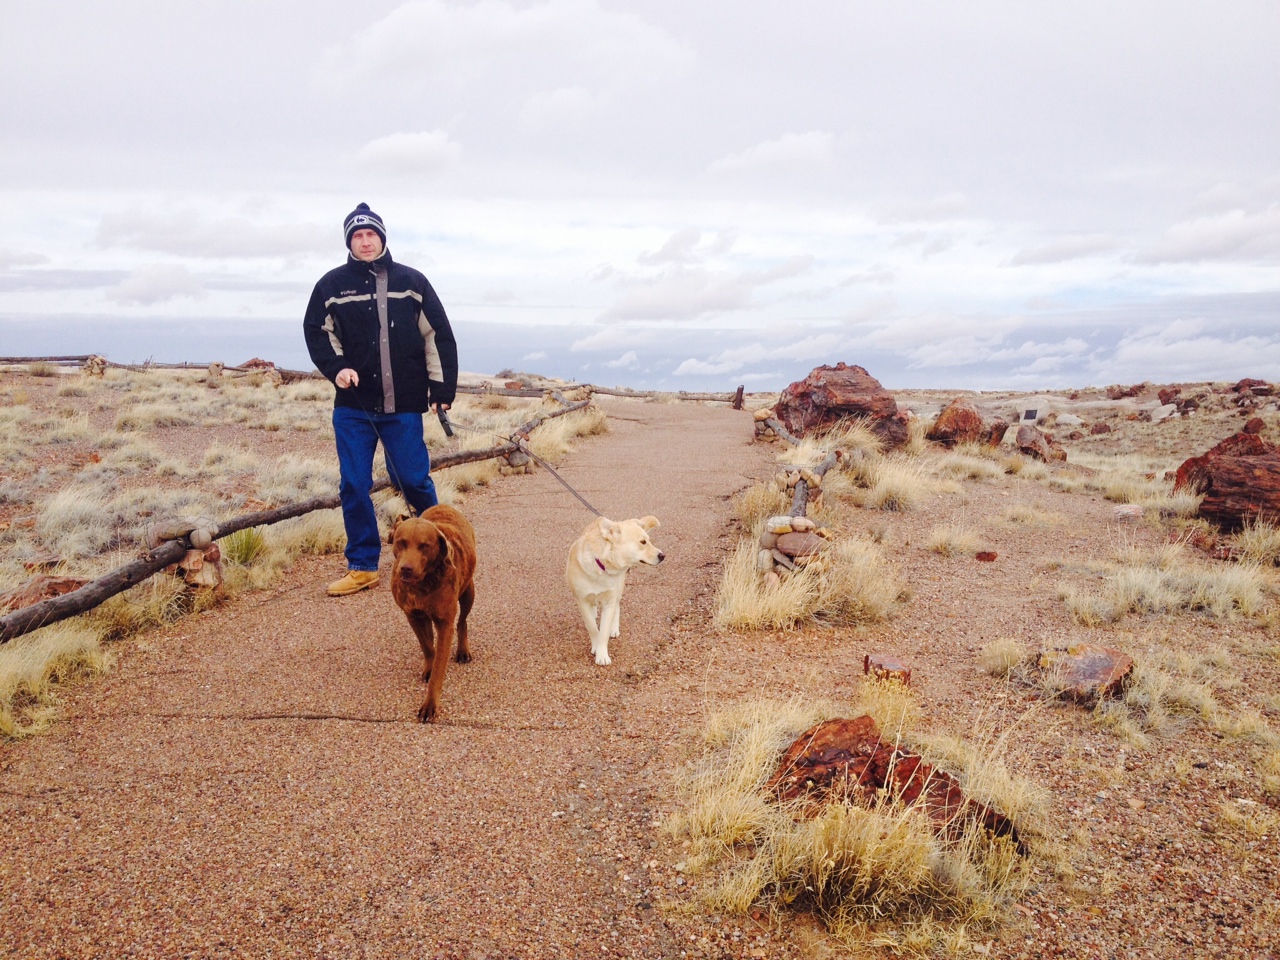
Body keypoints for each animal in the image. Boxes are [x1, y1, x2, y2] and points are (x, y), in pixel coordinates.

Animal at [386, 504, 478, 721]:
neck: (422, 586)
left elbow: (438, 668)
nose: (406, 569)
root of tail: (443, 505)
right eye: (401, 543)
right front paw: (430, 663)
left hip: (468, 592)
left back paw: (463, 650)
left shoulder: (444, 623)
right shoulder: (413, 615)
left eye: (424, 546)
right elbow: (427, 646)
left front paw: (430, 704)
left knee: (462, 621)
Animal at [573, 514, 670, 665]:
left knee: (617, 608)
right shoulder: (582, 600)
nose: (663, 555)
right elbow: (592, 627)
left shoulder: (610, 601)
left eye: (648, 540)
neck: (602, 566)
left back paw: (614, 628)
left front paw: (602, 654)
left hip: (618, 590)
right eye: (643, 542)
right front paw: (595, 646)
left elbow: (604, 631)